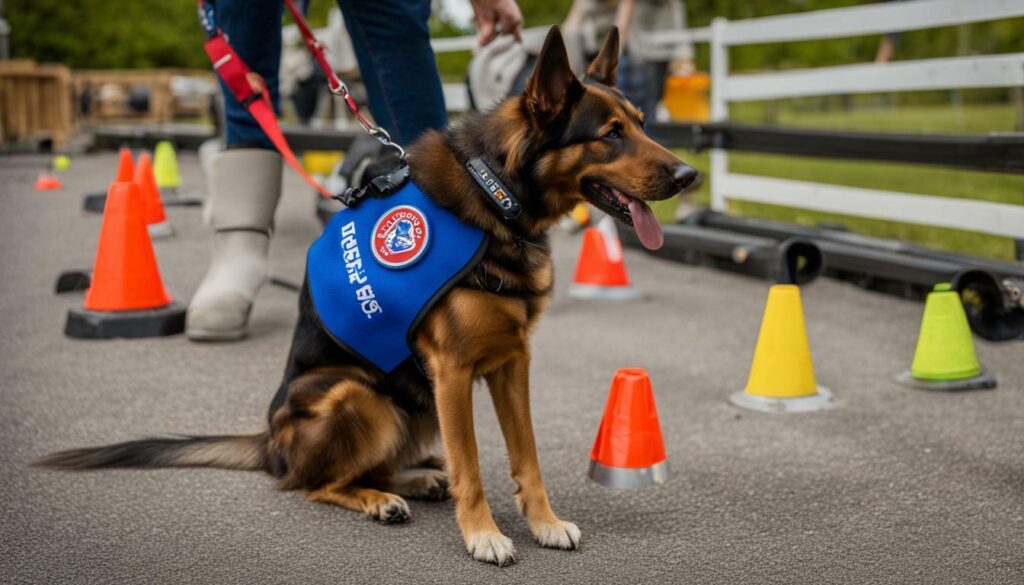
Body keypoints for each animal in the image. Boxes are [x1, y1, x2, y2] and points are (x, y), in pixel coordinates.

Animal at [36, 25, 700, 565]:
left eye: (643, 125)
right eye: (610, 135)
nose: (690, 175)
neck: (496, 195)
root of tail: (270, 440)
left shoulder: (512, 364)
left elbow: (526, 455)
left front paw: (543, 522)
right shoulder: (454, 373)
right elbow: (473, 463)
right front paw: (483, 534)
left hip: (412, 407)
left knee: (383, 464)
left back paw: (414, 480)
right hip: (359, 396)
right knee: (312, 483)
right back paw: (379, 497)